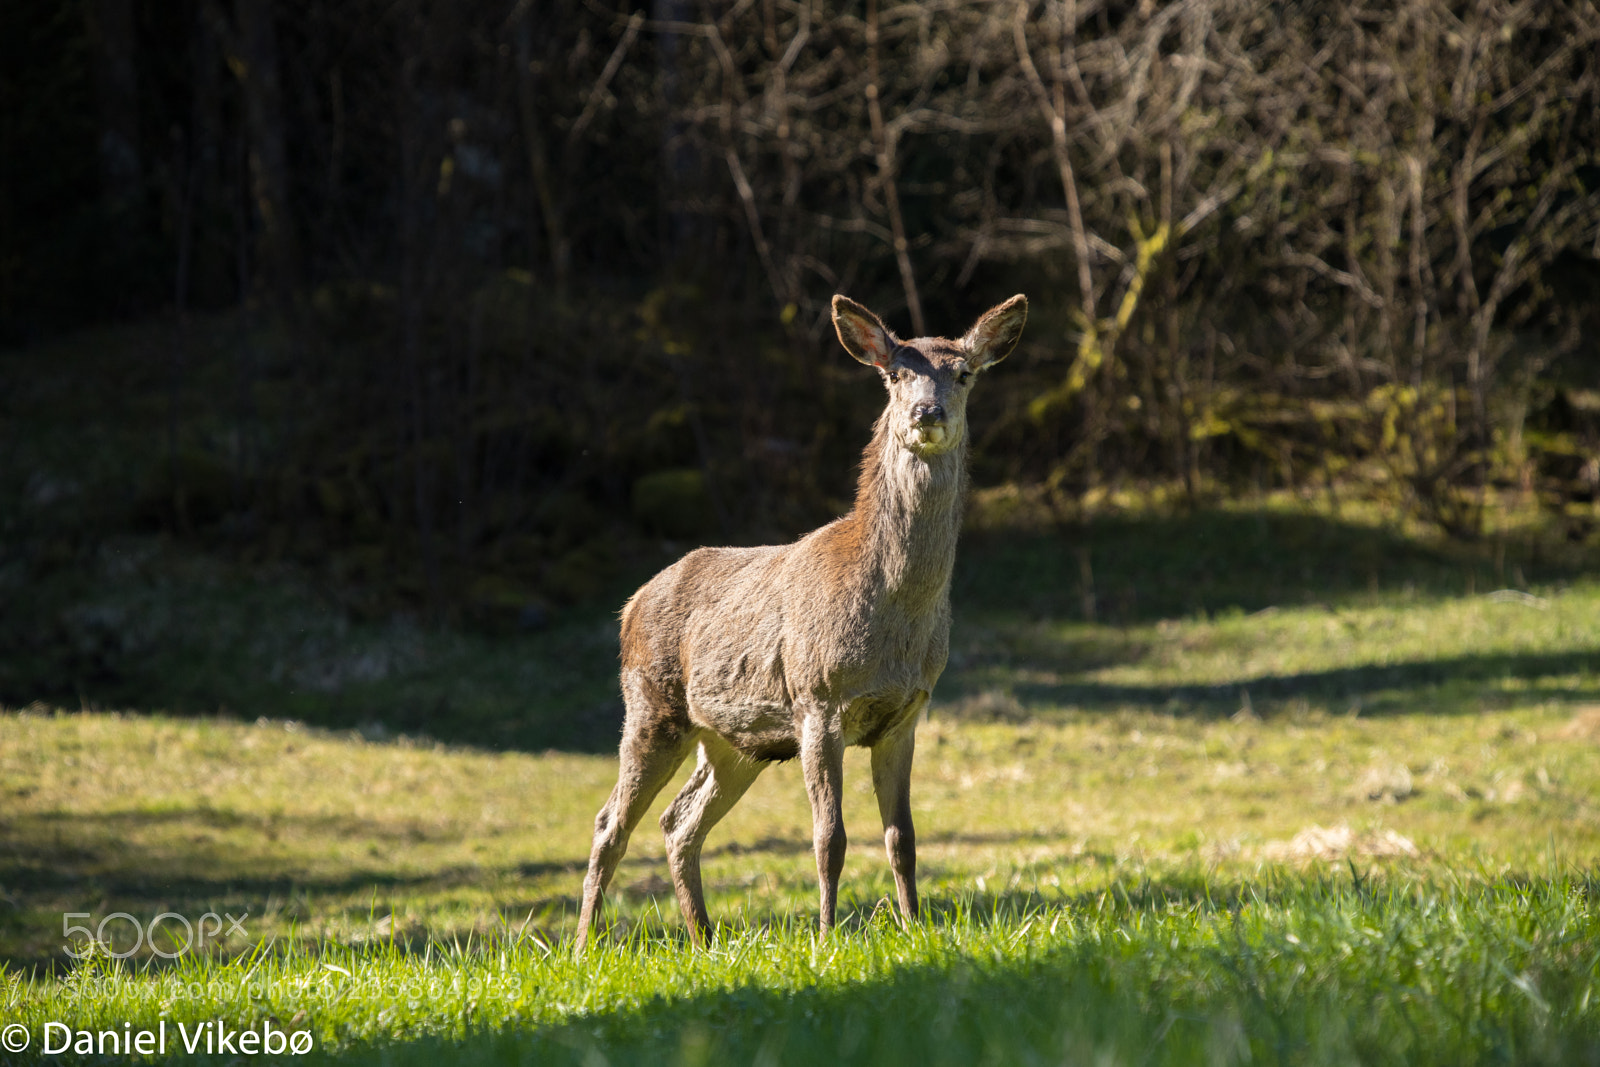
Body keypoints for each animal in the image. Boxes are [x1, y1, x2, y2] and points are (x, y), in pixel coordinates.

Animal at [574, 293, 1028, 950]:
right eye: (896, 374)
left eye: (964, 373)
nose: (927, 411)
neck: (895, 619)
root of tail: (628, 606)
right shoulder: (818, 699)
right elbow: (829, 838)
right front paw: (826, 935)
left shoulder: (907, 713)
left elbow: (903, 839)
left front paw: (915, 927)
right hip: (651, 704)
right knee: (611, 821)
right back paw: (585, 945)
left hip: (737, 742)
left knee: (679, 821)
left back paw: (704, 939)